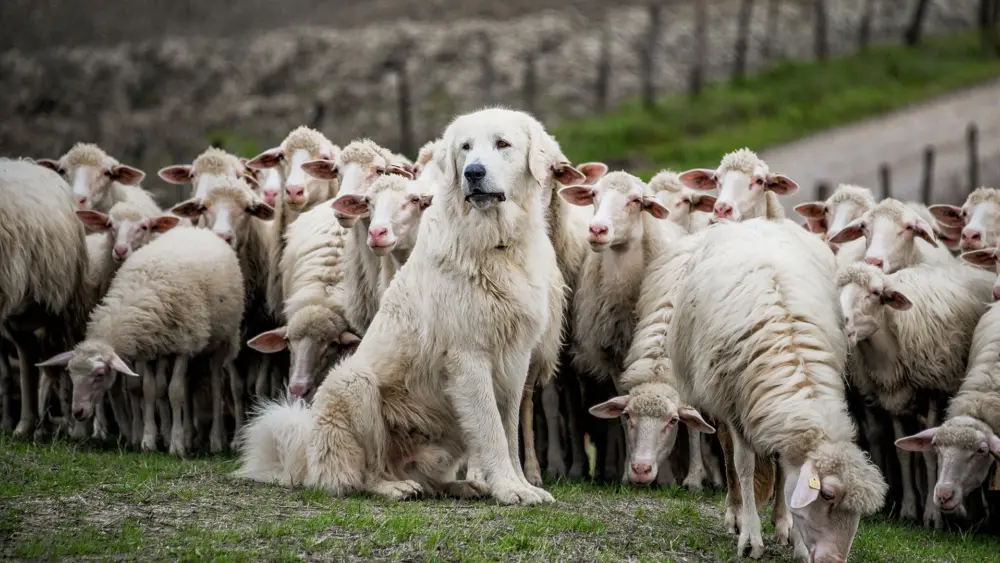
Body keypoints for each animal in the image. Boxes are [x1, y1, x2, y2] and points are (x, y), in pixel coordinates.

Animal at [38, 226, 244, 456]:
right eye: (71, 374)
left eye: (100, 374)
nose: (78, 412)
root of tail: (195, 228)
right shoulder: (149, 348)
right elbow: (148, 390)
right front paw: (148, 441)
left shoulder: (183, 345)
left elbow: (175, 392)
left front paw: (176, 445)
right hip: (180, 347)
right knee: (186, 384)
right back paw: (190, 436)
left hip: (221, 340)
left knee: (217, 385)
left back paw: (216, 441)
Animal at [236, 108, 564, 506]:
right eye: (466, 148)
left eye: (502, 144)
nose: (473, 172)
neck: (494, 245)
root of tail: (307, 457)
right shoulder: (469, 356)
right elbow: (492, 431)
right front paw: (509, 489)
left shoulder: (515, 358)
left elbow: (509, 428)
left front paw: (520, 484)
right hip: (354, 382)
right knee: (365, 472)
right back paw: (394, 486)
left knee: (428, 476)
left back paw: (460, 485)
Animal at [670, 219, 886, 561]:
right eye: (827, 495)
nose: (833, 560)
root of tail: (756, 221)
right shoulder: (735, 405)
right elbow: (743, 466)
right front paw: (750, 537)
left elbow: (786, 474)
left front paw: (794, 538)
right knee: (728, 453)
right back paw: (735, 513)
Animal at [837, 261, 993, 528]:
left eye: (876, 293)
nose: (842, 321)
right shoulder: (893, 397)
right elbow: (902, 453)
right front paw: (909, 509)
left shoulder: (934, 392)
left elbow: (928, 453)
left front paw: (932, 515)